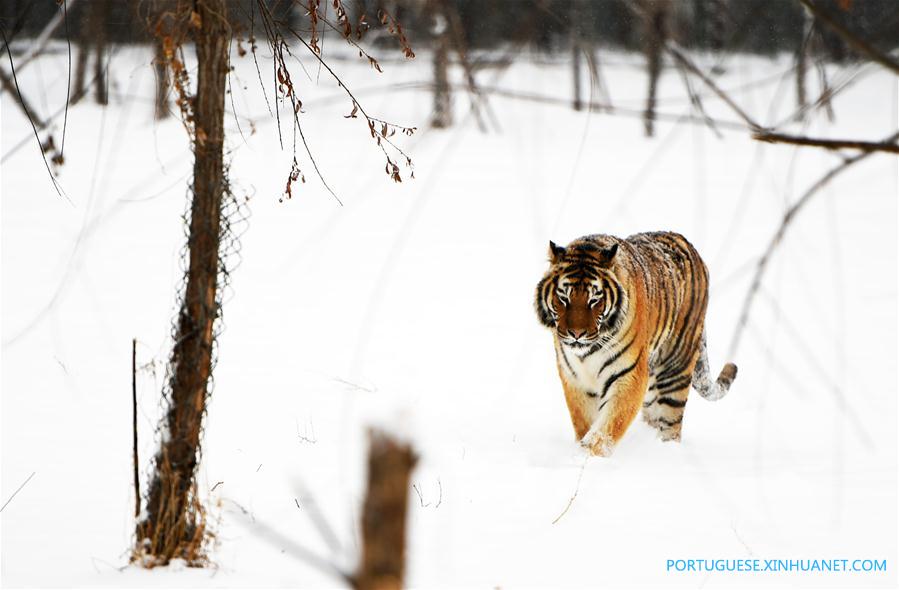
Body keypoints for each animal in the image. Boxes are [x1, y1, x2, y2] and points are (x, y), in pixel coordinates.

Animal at [534, 231, 737, 457]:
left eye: (594, 299)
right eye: (563, 298)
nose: (576, 334)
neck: (587, 353)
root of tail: (688, 244)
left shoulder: (628, 376)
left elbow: (609, 425)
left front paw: (591, 453)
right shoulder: (575, 378)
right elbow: (584, 421)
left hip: (675, 369)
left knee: (671, 424)